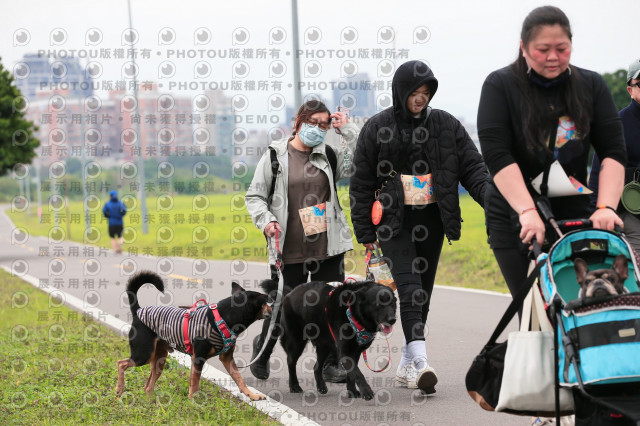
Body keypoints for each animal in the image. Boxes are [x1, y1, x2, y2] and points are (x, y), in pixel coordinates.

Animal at [116, 271, 272, 401]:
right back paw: (119, 389)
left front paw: (252, 395)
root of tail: (138, 311)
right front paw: (193, 401)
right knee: (121, 363)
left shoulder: (227, 358)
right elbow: (195, 383)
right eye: (266, 303)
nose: (272, 310)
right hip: (144, 354)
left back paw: (150, 401)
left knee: (148, 386)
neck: (222, 318)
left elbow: (239, 379)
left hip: (159, 358)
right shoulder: (198, 359)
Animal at [261, 279, 397, 400]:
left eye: (392, 304)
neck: (352, 312)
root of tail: (290, 293)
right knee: (290, 362)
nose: (393, 320)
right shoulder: (345, 352)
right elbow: (358, 373)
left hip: (324, 346)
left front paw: (352, 391)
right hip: (297, 342)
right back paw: (294, 385)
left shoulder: (355, 352)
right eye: (378, 304)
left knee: (316, 367)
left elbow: (351, 374)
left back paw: (321, 386)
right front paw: (366, 391)